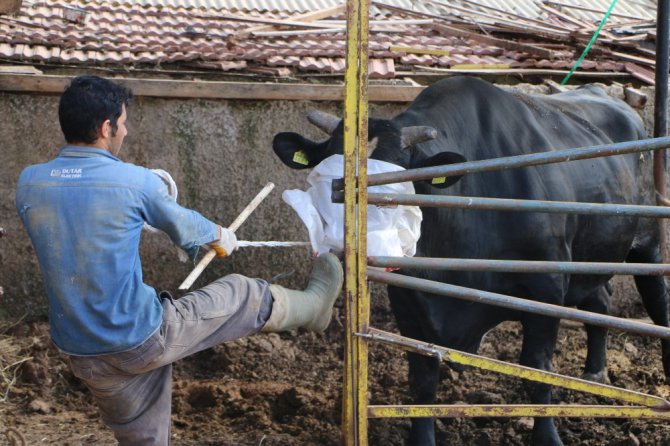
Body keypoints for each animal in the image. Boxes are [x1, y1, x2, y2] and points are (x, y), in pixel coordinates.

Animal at [272, 77, 670, 446]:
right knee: (600, 301)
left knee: (657, 303)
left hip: (647, 243)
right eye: (328, 175)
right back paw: (595, 373)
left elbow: (538, 371)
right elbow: (422, 379)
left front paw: (547, 436)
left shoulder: (547, 287)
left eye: (396, 180)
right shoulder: (409, 299)